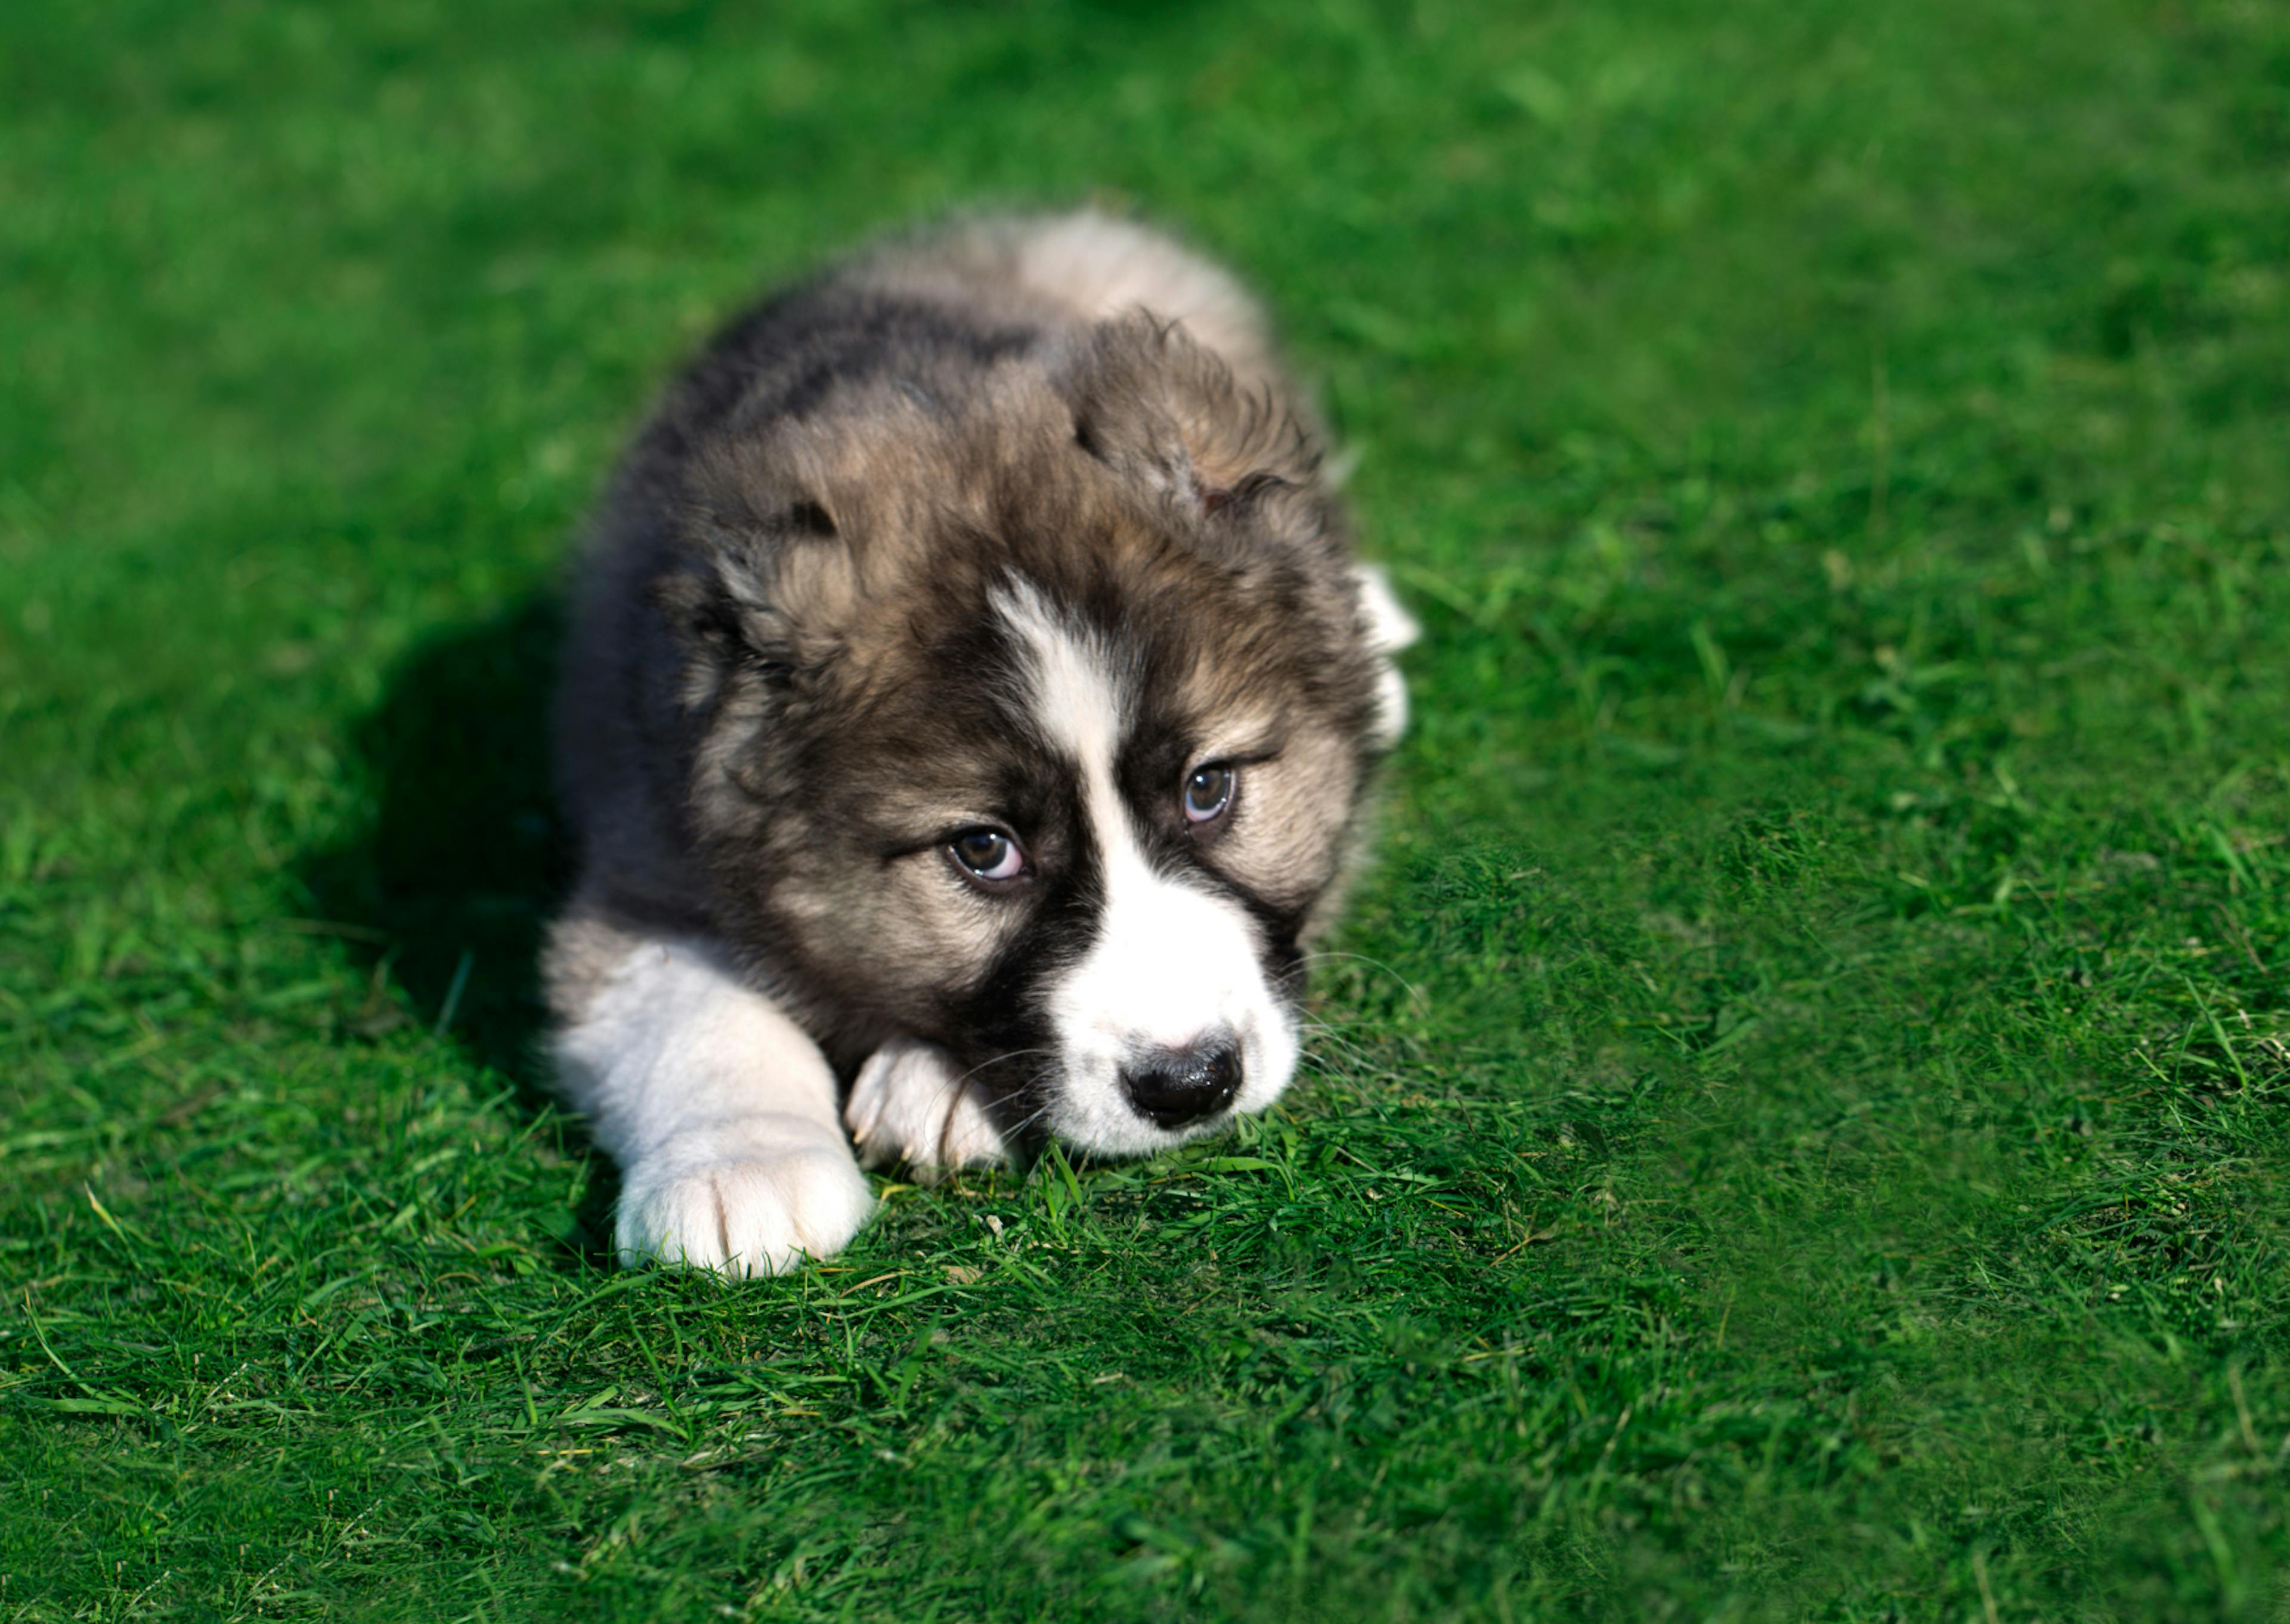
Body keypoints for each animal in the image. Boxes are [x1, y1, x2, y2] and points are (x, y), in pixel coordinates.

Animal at [549, 215, 1410, 1273]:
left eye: (1209, 789)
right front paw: (742, 1171)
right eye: (983, 850)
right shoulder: (643, 851)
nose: (1191, 1084)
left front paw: (933, 1087)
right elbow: (693, 1012)